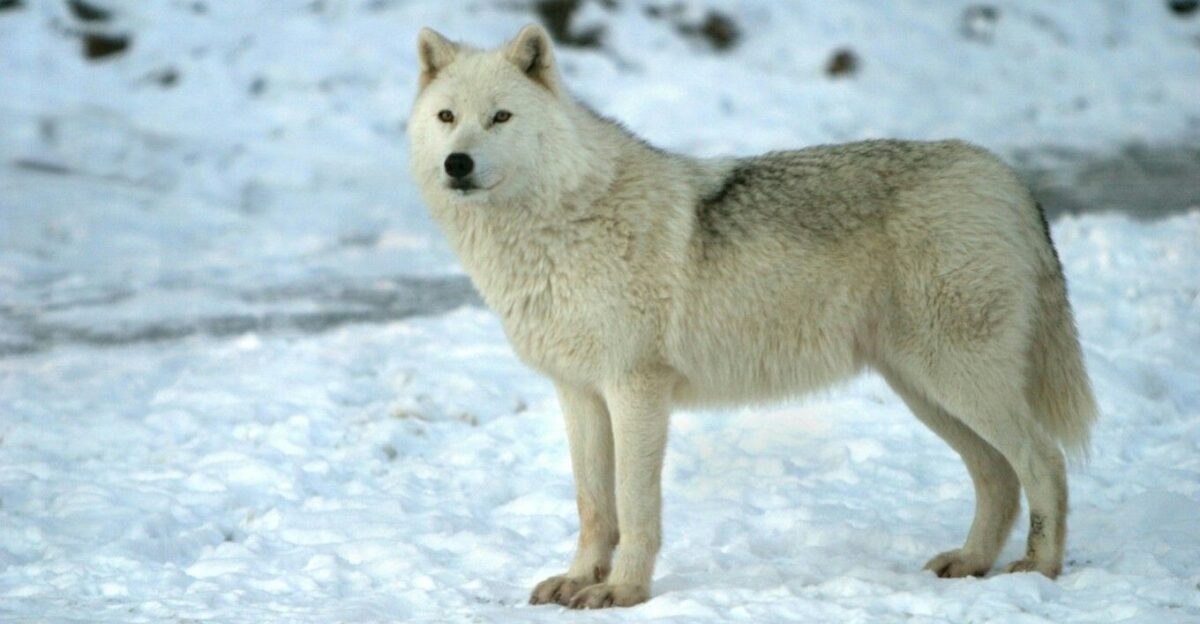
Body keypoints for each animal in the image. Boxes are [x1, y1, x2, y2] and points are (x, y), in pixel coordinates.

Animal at [408, 24, 1098, 609]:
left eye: (501, 117)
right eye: (447, 118)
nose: (457, 164)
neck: (558, 223)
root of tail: (1007, 177)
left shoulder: (636, 390)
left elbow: (634, 506)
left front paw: (623, 593)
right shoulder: (578, 394)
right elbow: (594, 505)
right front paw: (579, 582)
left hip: (958, 382)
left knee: (1045, 461)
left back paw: (1038, 570)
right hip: (926, 392)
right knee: (997, 476)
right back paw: (972, 564)